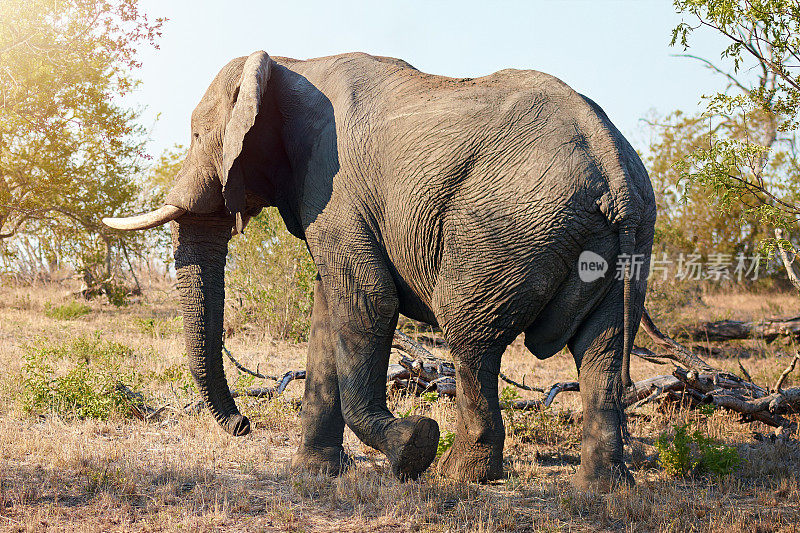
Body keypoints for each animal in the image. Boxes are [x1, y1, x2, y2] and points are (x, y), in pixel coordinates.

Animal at [103, 50, 656, 486]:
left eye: (198, 135)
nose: (242, 425)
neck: (291, 63)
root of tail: (614, 168)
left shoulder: (335, 185)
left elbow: (369, 300)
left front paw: (412, 447)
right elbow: (330, 311)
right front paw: (316, 473)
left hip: (504, 229)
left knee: (471, 338)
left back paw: (459, 476)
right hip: (621, 246)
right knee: (602, 350)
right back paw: (601, 487)